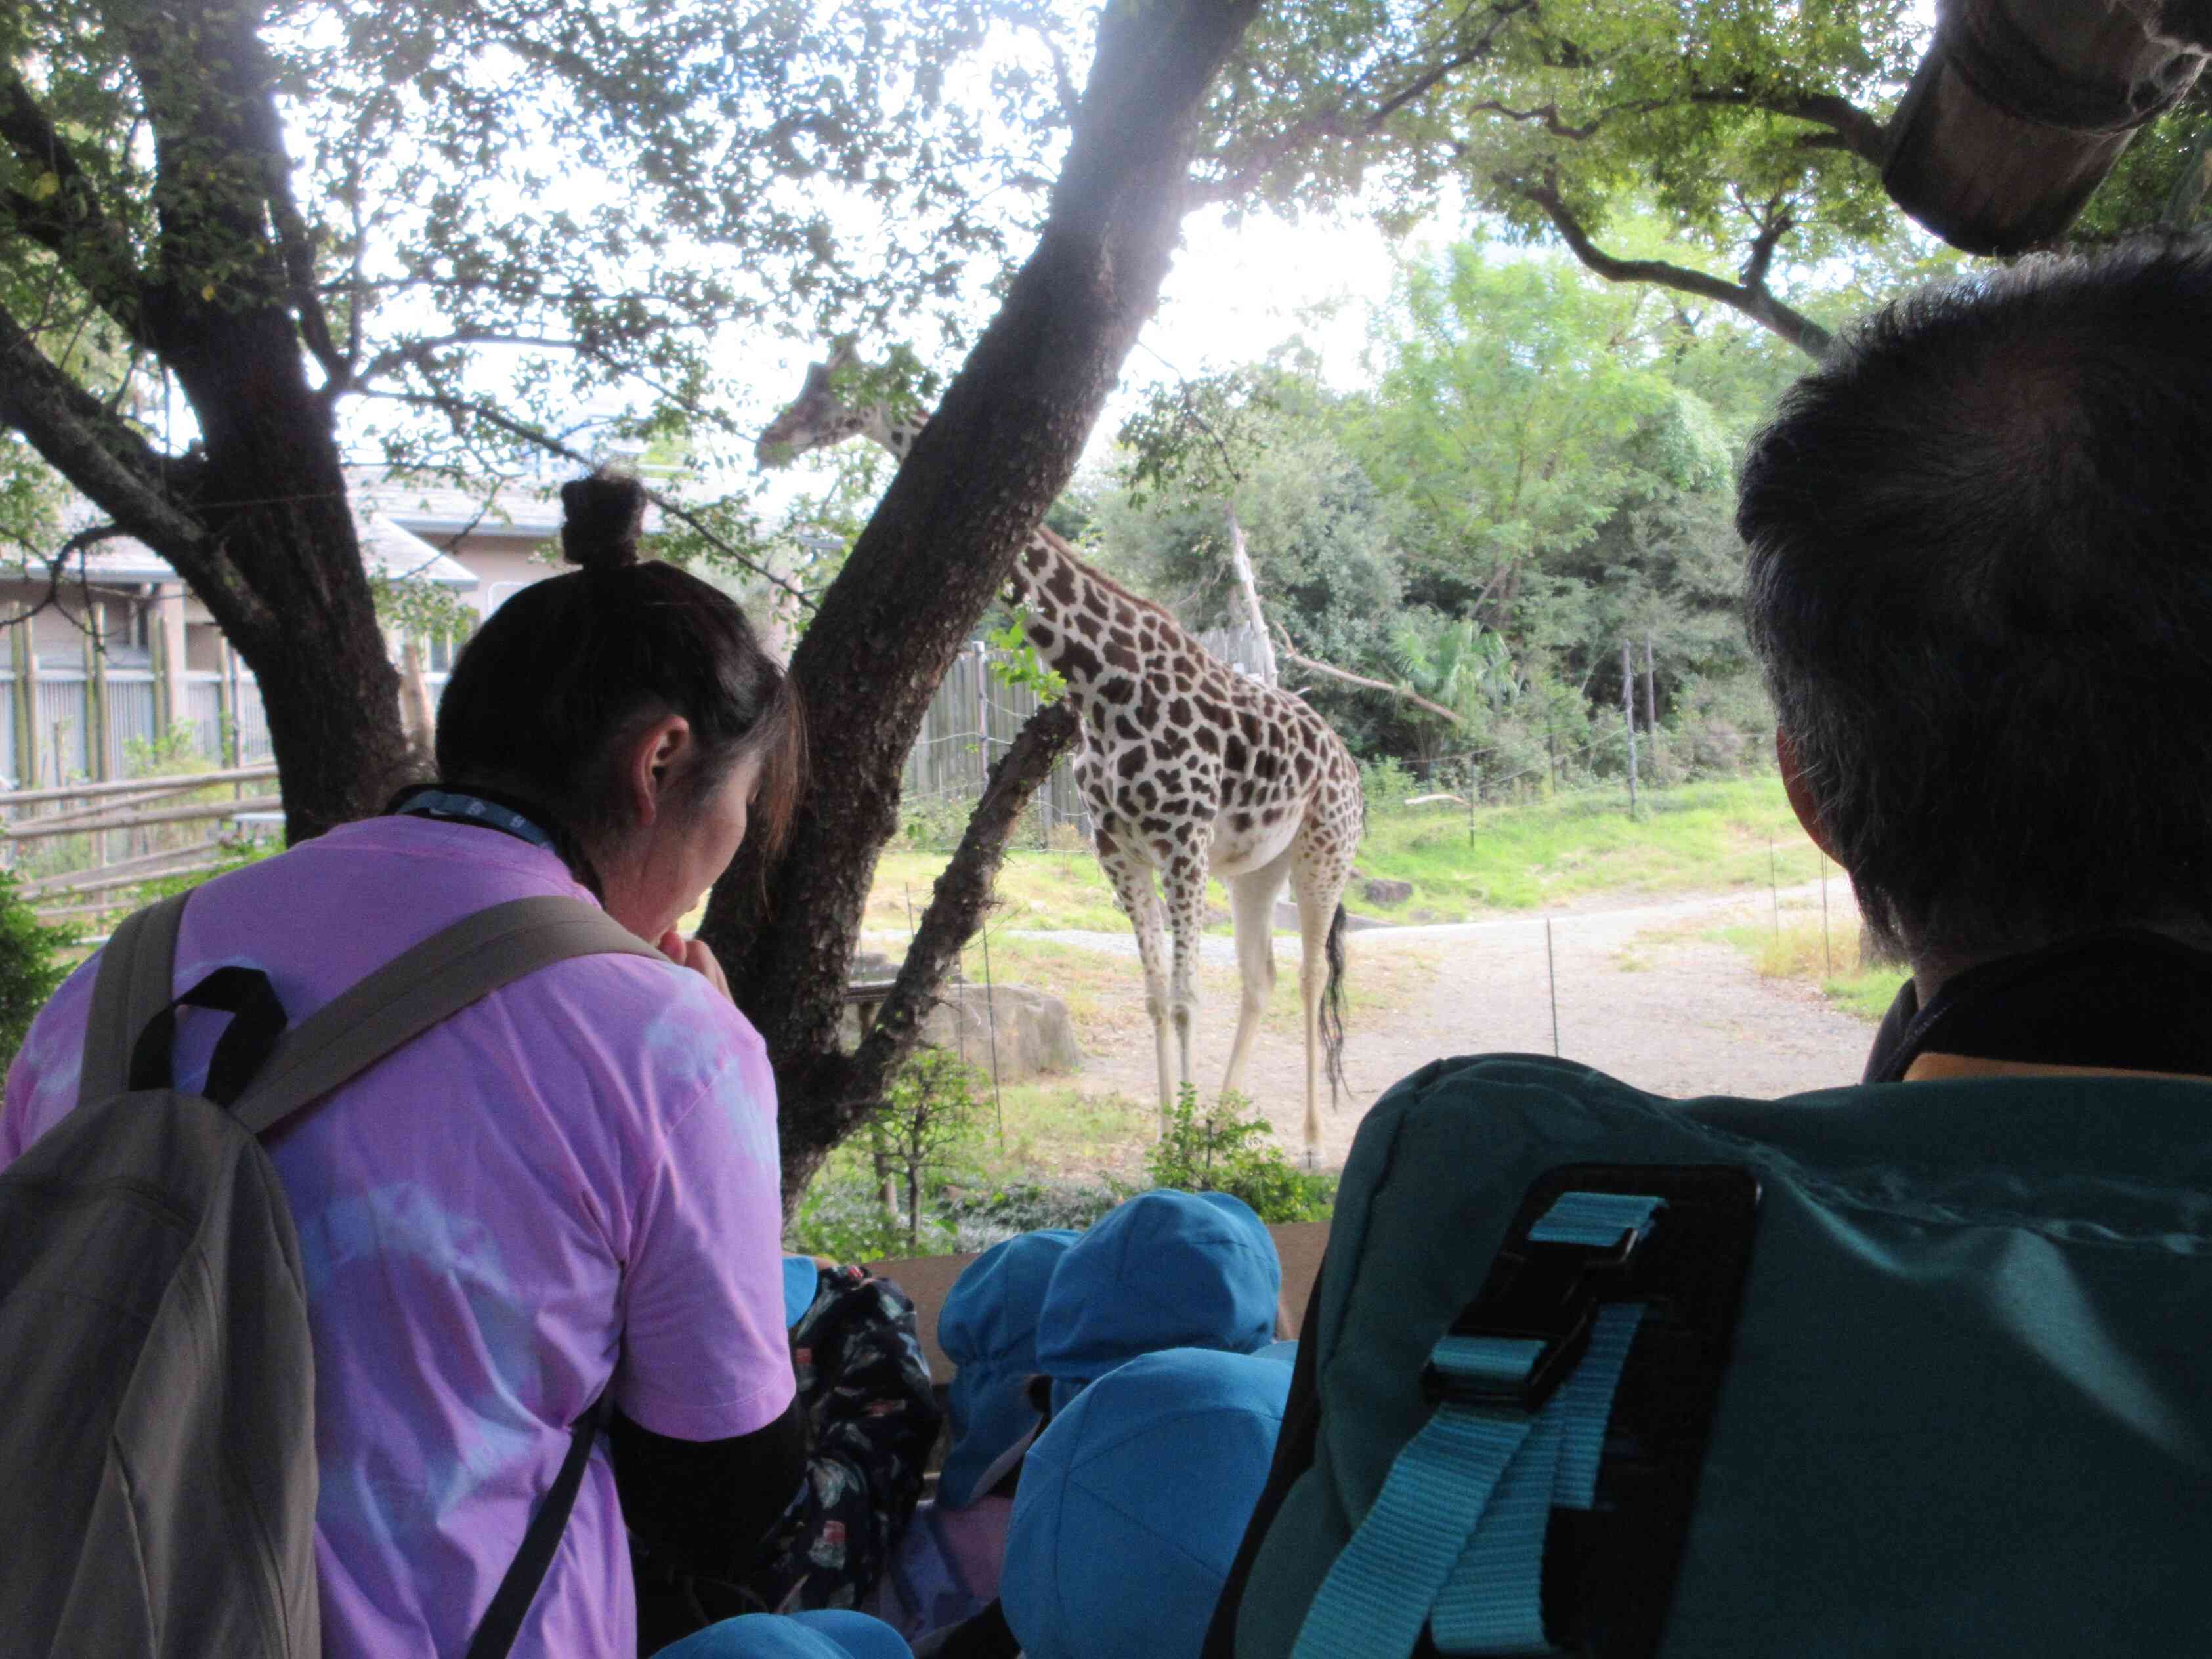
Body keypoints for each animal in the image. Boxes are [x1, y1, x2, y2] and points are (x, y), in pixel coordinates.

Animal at [765, 345, 1362, 1159]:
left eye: (836, 389)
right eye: (806, 377)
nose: (772, 439)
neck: (1102, 682)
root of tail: (1347, 760)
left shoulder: (1181, 840)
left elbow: (1184, 996)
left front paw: (1182, 1150)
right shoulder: (1118, 846)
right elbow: (1155, 995)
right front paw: (1171, 1139)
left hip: (1322, 851)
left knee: (1306, 977)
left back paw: (1304, 1143)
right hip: (1255, 867)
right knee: (1261, 976)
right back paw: (1220, 1123)